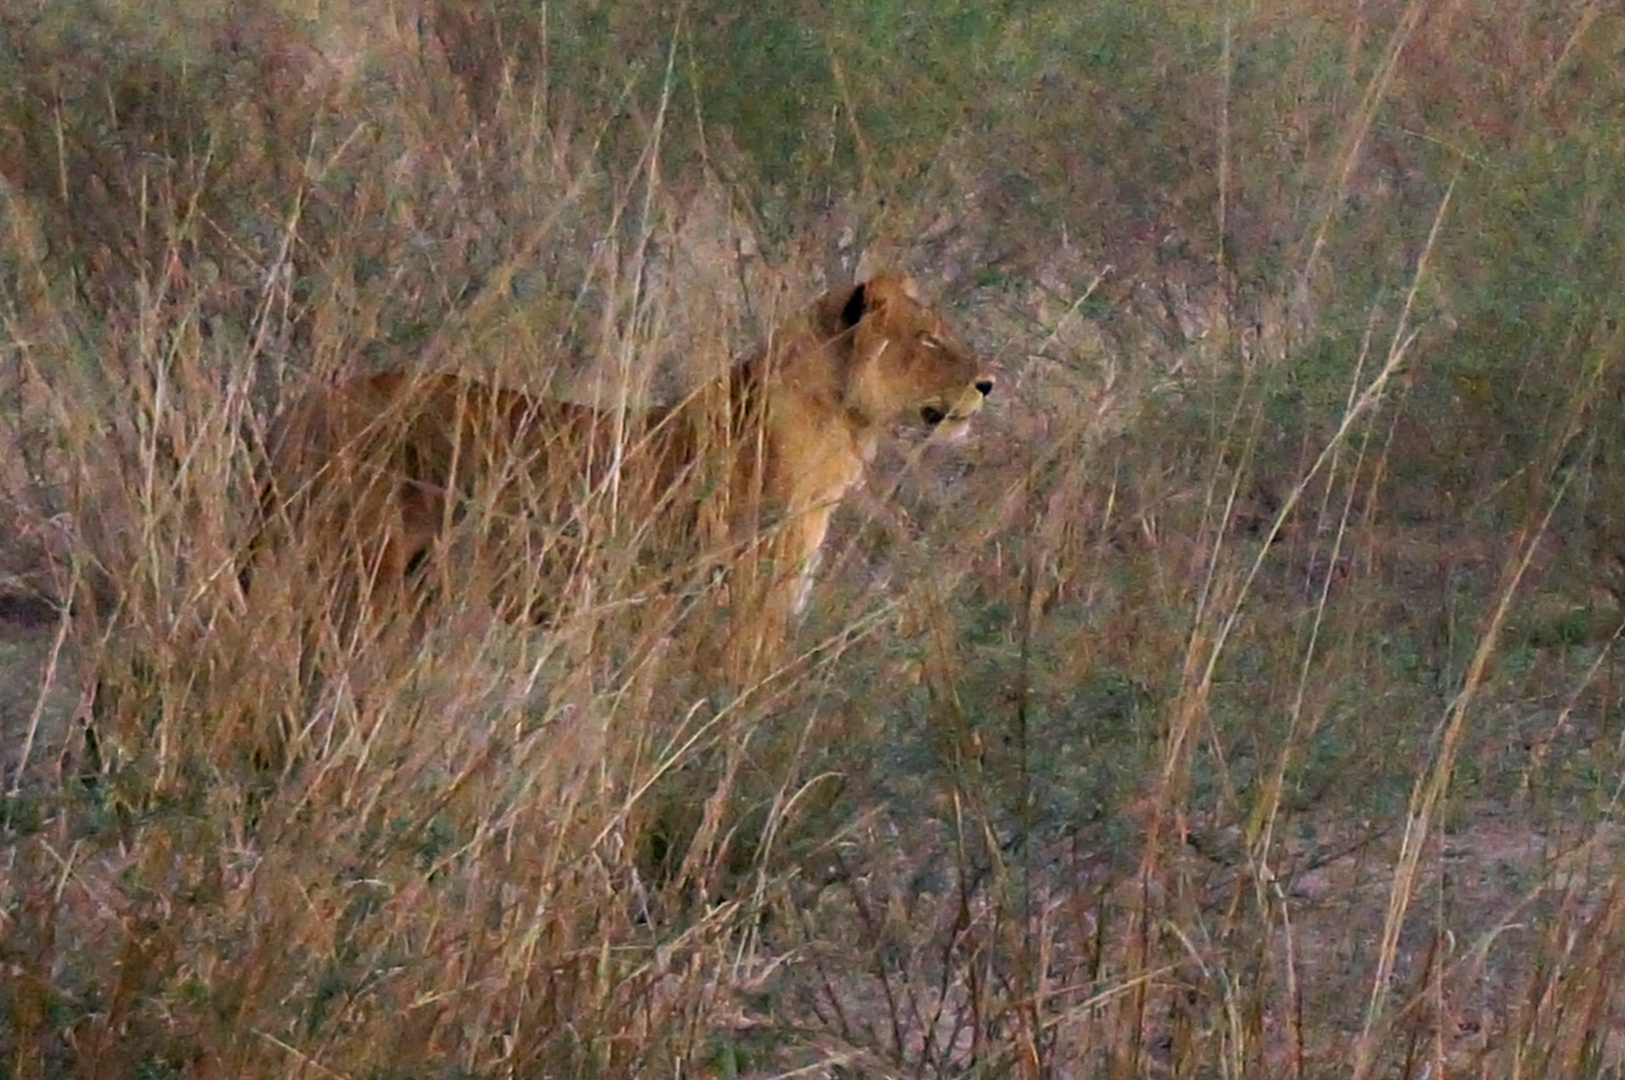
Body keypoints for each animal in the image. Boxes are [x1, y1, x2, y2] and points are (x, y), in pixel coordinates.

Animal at [256, 269, 988, 675]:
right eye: (927, 339)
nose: (989, 383)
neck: (837, 427)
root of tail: (302, 407)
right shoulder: (740, 615)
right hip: (355, 576)